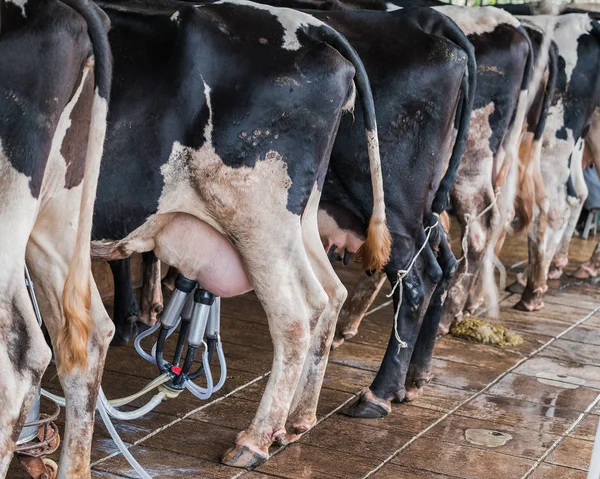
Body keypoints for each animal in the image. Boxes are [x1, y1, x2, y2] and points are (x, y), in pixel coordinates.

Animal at [92, 0, 392, 466]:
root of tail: (312, 27)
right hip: (298, 218)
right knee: (330, 293)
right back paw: (297, 421)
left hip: (258, 220)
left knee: (296, 314)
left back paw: (255, 440)